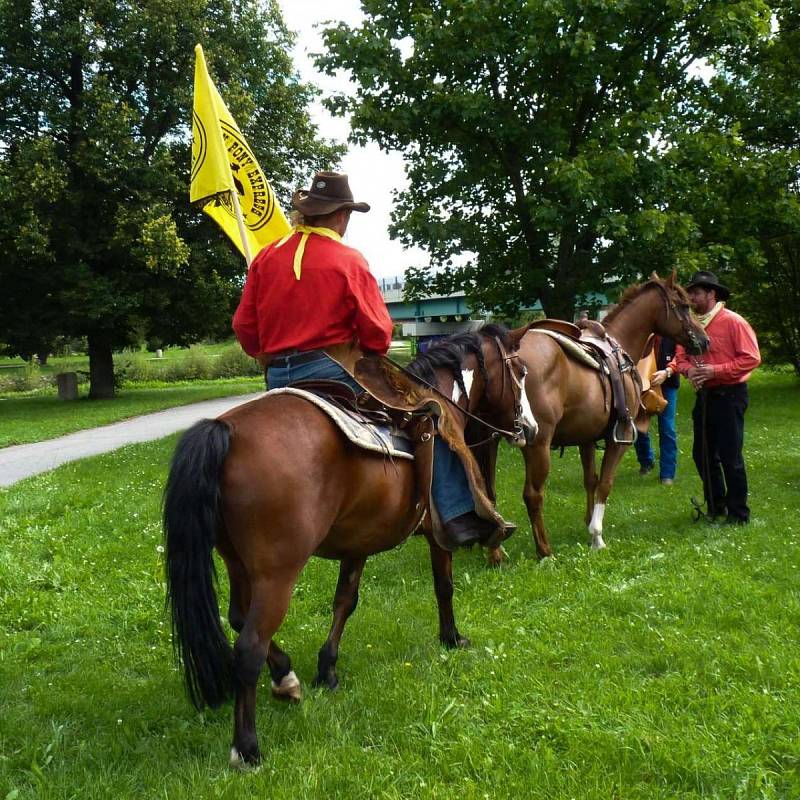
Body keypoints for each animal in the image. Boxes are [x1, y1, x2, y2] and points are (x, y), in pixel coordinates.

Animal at [163, 328, 536, 764]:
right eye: (520, 370)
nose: (529, 428)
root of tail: (228, 432)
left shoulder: (358, 542)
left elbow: (345, 600)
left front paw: (327, 670)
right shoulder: (438, 533)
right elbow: (444, 585)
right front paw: (451, 637)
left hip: (236, 561)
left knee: (238, 617)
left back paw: (286, 676)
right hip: (277, 572)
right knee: (249, 645)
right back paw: (247, 747)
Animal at [476, 276, 708, 564]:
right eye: (684, 306)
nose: (704, 340)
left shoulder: (585, 438)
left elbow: (591, 479)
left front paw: (588, 524)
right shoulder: (619, 438)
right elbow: (605, 483)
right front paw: (597, 536)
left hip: (488, 440)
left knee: (488, 493)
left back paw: (496, 552)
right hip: (536, 443)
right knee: (532, 495)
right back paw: (544, 552)